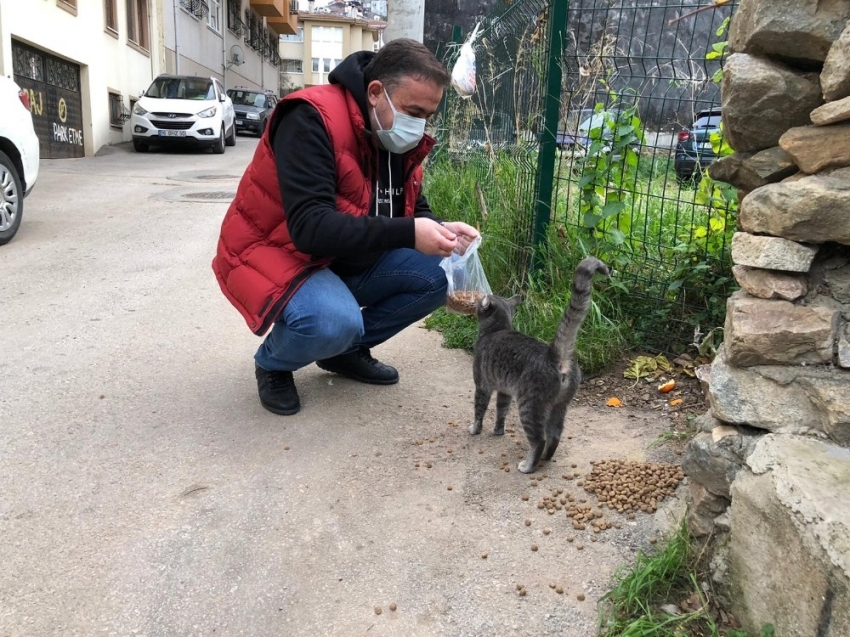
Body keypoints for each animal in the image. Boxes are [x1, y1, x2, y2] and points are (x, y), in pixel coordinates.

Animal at [468, 258, 608, 472]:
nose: (476, 300)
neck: (496, 329)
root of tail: (553, 355)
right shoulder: (505, 391)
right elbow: (501, 412)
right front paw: (498, 430)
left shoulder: (482, 386)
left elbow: (479, 410)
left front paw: (475, 429)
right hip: (559, 406)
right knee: (555, 435)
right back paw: (546, 457)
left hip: (529, 405)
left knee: (539, 440)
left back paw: (528, 465)